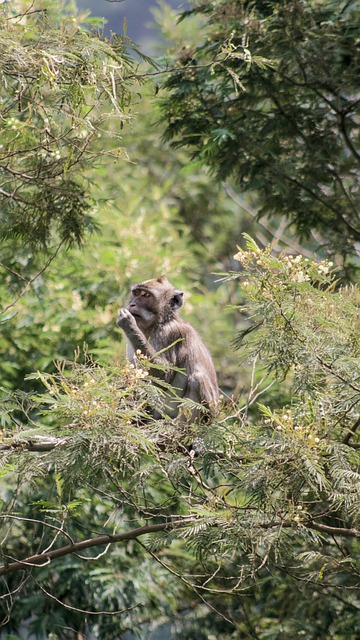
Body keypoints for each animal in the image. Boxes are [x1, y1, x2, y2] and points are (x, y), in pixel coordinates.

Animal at [117, 276, 219, 420]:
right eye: (136, 293)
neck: (159, 322)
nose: (132, 305)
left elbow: (165, 374)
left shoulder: (169, 333)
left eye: (146, 295)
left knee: (198, 379)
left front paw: (129, 324)